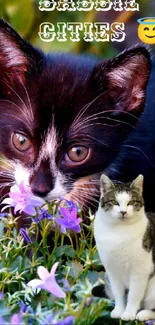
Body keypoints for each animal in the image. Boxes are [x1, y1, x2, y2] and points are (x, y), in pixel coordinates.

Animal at [94, 173, 155, 320]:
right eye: (114, 202)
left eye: (131, 202)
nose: (123, 212)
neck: (119, 232)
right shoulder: (112, 270)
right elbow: (118, 293)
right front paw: (119, 310)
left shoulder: (140, 271)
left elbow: (134, 294)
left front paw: (129, 313)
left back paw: (143, 314)